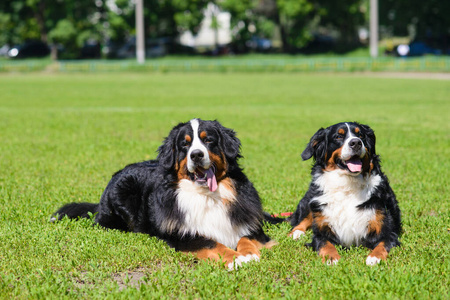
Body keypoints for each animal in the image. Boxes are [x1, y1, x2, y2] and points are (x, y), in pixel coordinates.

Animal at [54, 119, 276, 270]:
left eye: (209, 140)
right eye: (185, 144)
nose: (196, 155)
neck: (206, 196)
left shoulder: (249, 224)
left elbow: (245, 237)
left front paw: (249, 253)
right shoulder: (182, 234)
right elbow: (212, 242)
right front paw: (236, 258)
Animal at [288, 122, 400, 264]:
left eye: (360, 135)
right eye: (338, 137)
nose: (356, 143)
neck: (347, 186)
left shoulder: (387, 230)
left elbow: (383, 243)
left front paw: (375, 258)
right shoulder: (321, 231)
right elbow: (325, 244)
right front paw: (331, 258)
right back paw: (296, 233)